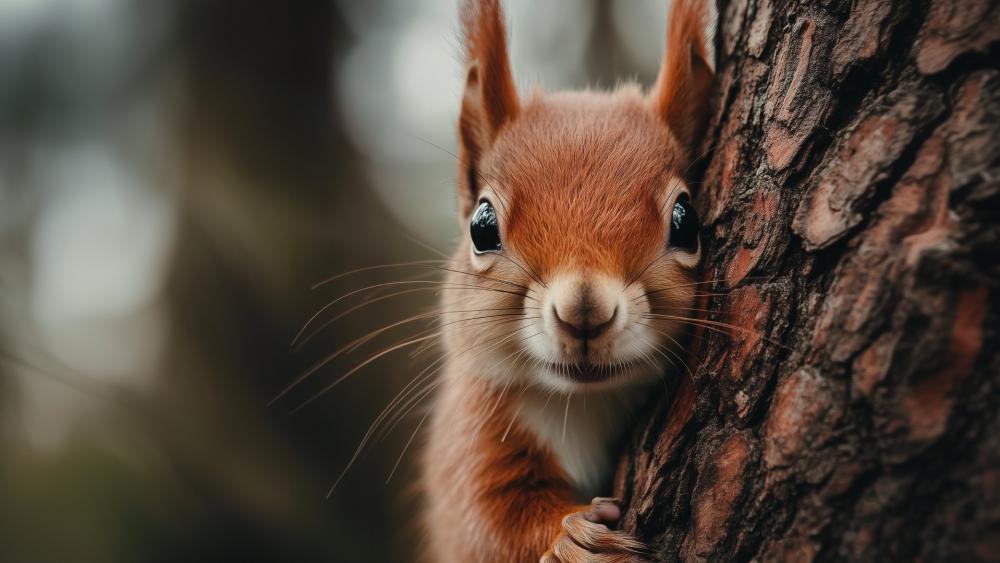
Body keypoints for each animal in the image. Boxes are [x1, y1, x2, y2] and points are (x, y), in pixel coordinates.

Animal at [422, 1, 716, 561]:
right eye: (481, 226)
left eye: (687, 221)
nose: (584, 310)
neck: (581, 404)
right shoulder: (470, 437)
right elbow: (484, 524)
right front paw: (570, 535)